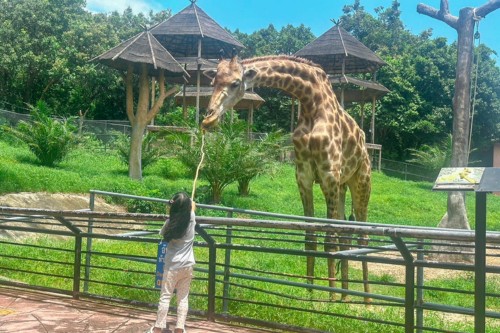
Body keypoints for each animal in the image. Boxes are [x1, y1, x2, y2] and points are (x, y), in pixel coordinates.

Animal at [201, 55, 370, 300]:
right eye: (213, 82)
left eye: (235, 83)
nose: (208, 119)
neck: (311, 102)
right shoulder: (304, 177)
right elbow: (310, 238)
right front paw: (310, 294)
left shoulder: (328, 174)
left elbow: (329, 241)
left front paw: (329, 300)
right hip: (342, 185)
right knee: (345, 234)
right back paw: (346, 296)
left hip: (361, 180)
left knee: (362, 234)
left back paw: (366, 301)